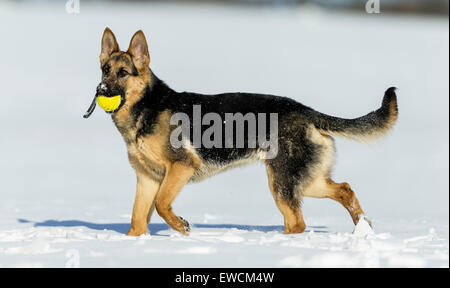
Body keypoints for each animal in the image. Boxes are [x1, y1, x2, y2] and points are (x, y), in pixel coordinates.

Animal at [85, 28, 398, 236]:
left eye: (123, 73)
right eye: (104, 70)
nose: (101, 90)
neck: (146, 107)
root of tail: (308, 111)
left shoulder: (182, 166)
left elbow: (162, 205)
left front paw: (182, 227)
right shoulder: (147, 179)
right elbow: (137, 220)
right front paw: (134, 244)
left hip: (282, 183)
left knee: (297, 222)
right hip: (305, 181)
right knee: (344, 189)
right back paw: (363, 229)